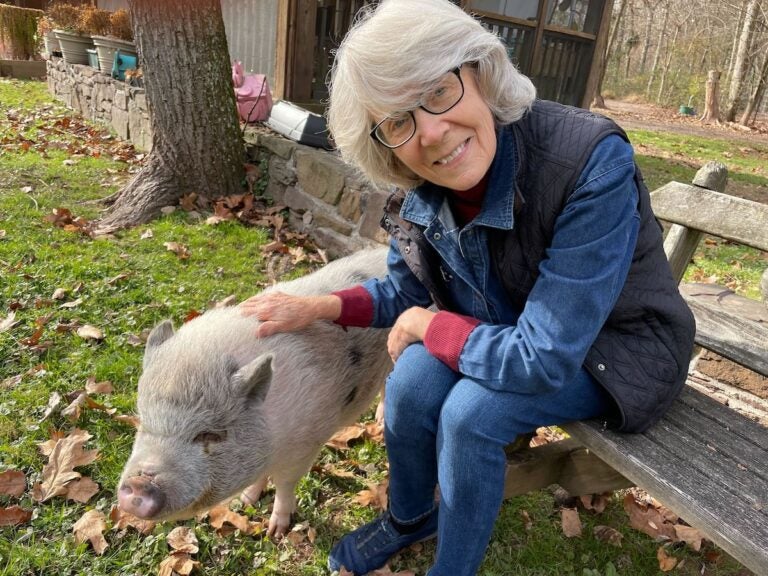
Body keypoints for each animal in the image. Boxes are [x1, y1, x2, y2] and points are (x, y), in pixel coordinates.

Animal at [117, 248, 392, 536]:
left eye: (209, 435)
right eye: (143, 422)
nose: (138, 485)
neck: (272, 436)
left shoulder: (306, 445)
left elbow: (285, 484)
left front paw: (276, 532)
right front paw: (246, 501)